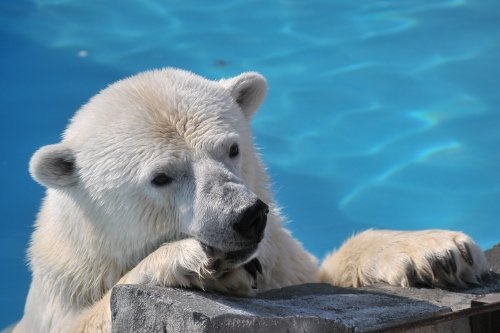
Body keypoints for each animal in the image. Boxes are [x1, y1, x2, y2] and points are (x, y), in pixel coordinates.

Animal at [12, 68, 488, 332]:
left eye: (232, 148)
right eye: (161, 177)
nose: (246, 216)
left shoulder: (283, 263)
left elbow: (321, 274)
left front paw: (438, 252)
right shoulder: (65, 290)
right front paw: (195, 262)